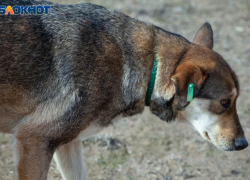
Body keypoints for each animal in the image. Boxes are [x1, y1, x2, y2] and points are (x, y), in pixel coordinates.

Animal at [0, 0, 247, 180]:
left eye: (235, 101)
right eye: (225, 102)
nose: (243, 144)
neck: (149, 64)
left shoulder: (68, 144)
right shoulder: (34, 139)